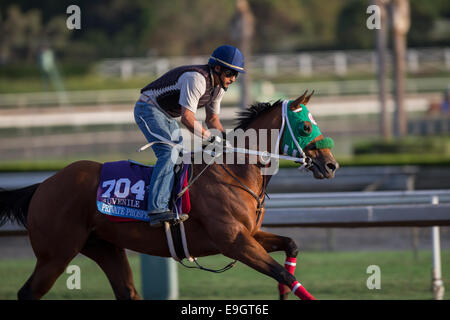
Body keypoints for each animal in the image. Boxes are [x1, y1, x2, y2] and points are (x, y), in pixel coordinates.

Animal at [0, 90, 338, 300]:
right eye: (305, 127)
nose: (331, 164)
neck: (235, 171)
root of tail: (44, 185)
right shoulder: (234, 241)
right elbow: (284, 275)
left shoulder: (250, 233)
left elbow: (291, 246)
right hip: (55, 254)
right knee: (28, 292)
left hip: (104, 247)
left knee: (127, 292)